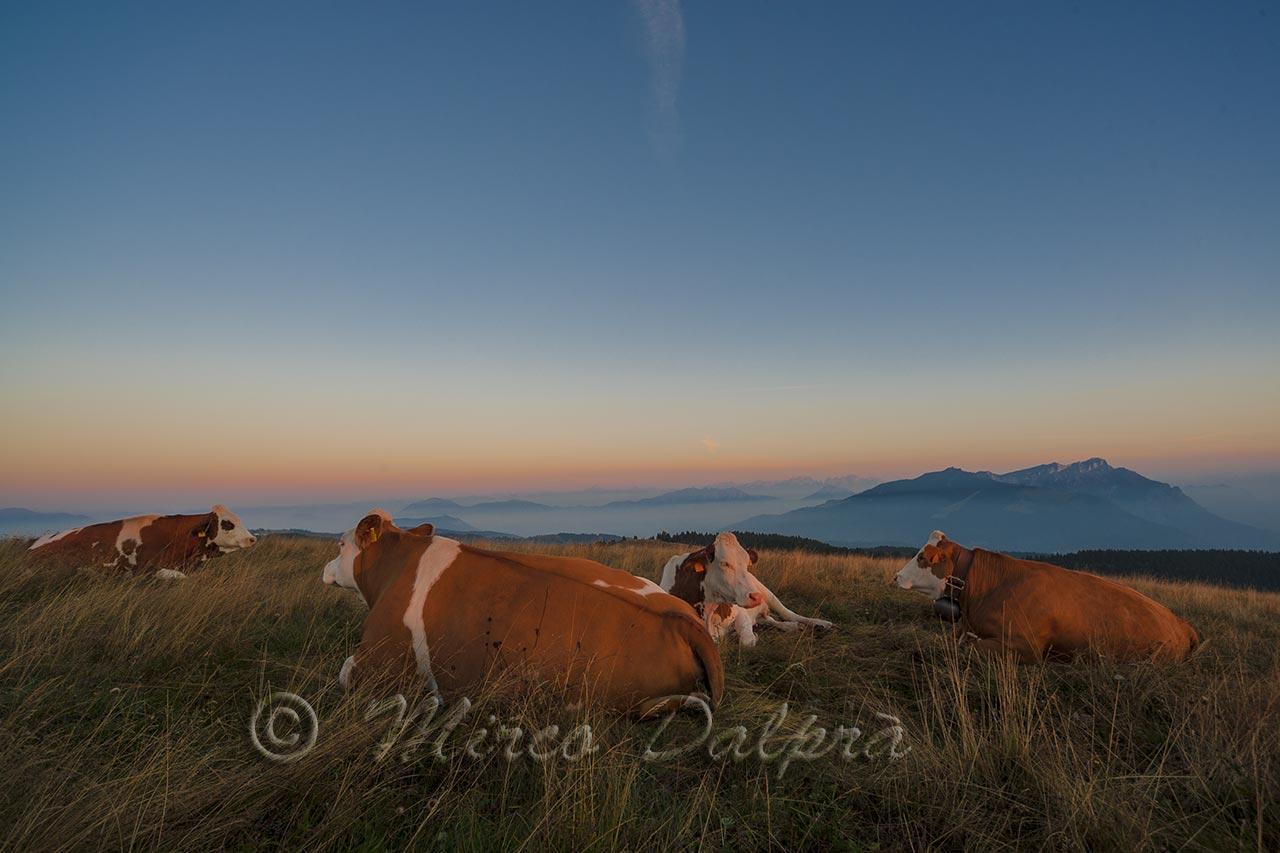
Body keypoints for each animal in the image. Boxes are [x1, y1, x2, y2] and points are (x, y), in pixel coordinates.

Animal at [655, 532, 834, 645]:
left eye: (747, 563)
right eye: (724, 563)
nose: (756, 597)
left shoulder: (740, 612)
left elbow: (747, 640)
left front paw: (750, 636)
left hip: (767, 593)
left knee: (789, 614)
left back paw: (820, 624)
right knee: (770, 620)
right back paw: (791, 627)